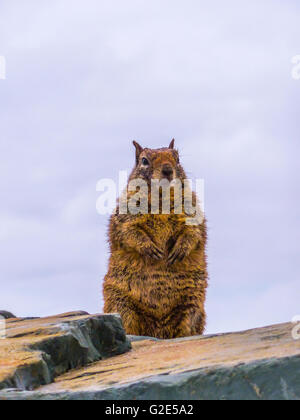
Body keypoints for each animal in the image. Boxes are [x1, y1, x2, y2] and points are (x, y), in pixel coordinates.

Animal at [102, 139, 207, 340]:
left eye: (177, 157)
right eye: (144, 160)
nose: (167, 170)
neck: (161, 199)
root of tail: (159, 331)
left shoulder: (192, 213)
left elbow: (193, 233)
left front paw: (180, 250)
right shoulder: (125, 218)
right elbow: (129, 233)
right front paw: (150, 249)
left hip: (192, 307)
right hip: (121, 305)